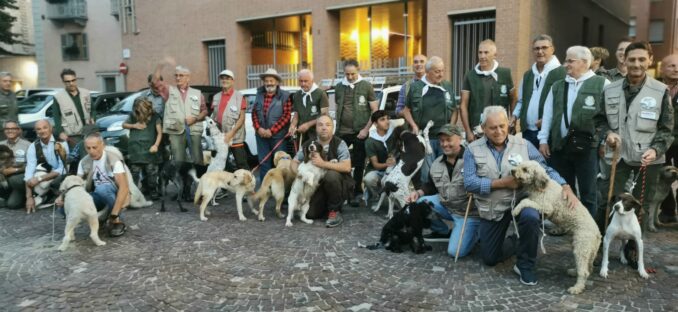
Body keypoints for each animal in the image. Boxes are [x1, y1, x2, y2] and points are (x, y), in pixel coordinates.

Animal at [512, 161, 604, 294]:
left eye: (525, 169)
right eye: (519, 165)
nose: (512, 171)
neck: (541, 186)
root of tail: (598, 234)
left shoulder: (546, 207)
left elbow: (525, 201)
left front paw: (515, 210)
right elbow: (526, 200)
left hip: (581, 247)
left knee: (584, 272)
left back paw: (576, 288)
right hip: (585, 249)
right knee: (587, 267)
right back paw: (574, 272)